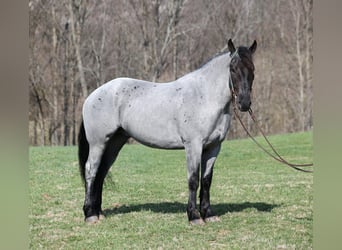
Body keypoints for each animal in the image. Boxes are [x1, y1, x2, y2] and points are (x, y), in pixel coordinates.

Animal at [78, 39, 256, 225]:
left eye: (252, 69)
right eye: (233, 68)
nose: (244, 103)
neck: (205, 97)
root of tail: (92, 96)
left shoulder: (213, 147)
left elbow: (206, 180)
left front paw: (208, 214)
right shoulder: (193, 146)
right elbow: (193, 180)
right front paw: (194, 216)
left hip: (114, 143)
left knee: (101, 173)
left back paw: (98, 212)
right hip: (98, 143)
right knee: (91, 171)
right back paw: (90, 214)